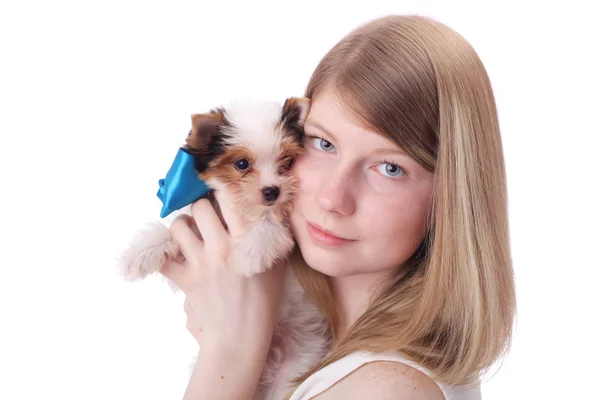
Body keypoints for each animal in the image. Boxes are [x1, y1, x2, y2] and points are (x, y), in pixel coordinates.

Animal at [119, 97, 330, 400]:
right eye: (242, 164)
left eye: (287, 162)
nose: (272, 191)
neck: (245, 211)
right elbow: (173, 228)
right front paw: (138, 253)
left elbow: (271, 225)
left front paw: (251, 256)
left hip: (295, 366)